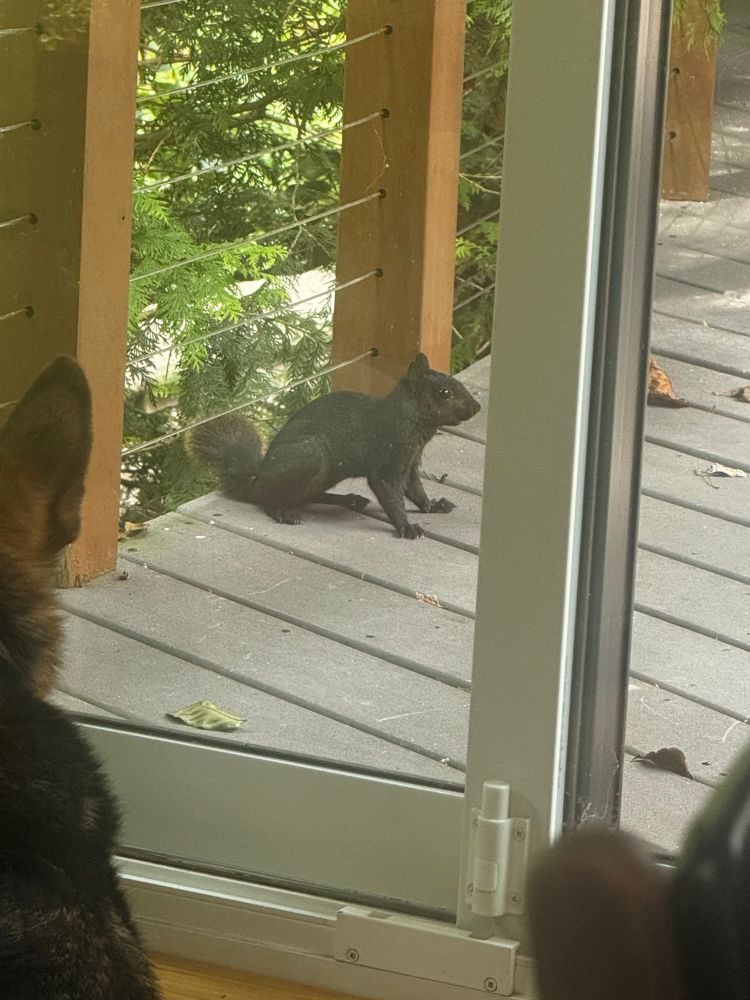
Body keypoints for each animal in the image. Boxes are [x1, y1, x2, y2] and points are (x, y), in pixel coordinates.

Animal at [187, 352, 481, 539]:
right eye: (444, 393)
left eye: (453, 381)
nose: (476, 407)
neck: (412, 423)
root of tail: (257, 477)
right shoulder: (389, 460)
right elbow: (391, 494)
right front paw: (406, 526)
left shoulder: (410, 462)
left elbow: (415, 490)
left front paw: (433, 505)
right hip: (311, 457)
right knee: (268, 496)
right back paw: (283, 510)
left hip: (327, 473)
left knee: (309, 495)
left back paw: (349, 499)